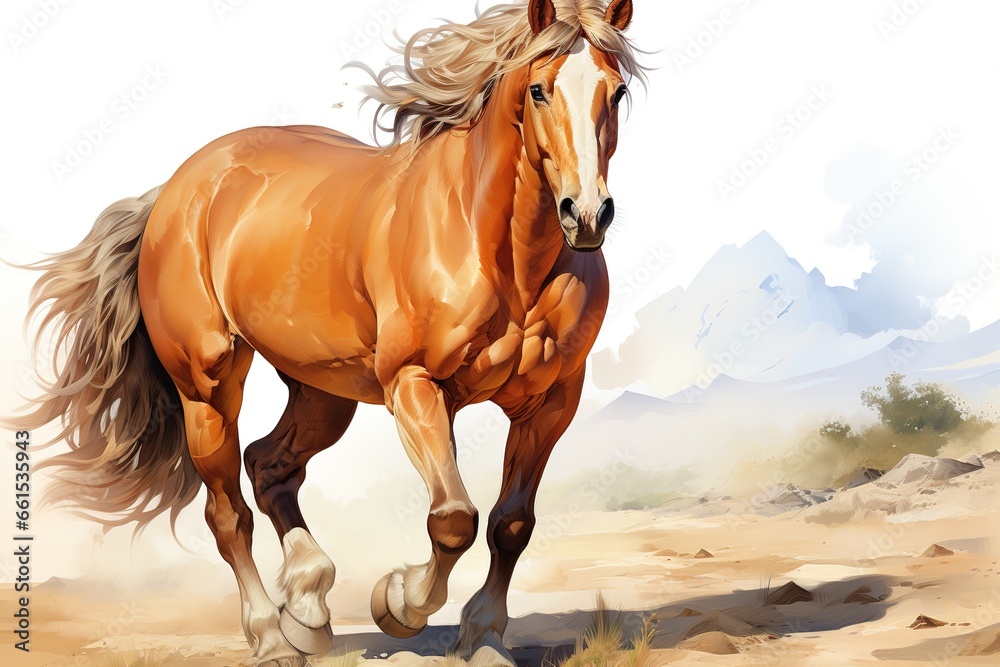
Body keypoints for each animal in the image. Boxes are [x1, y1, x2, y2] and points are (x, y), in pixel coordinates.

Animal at [15, 1, 644, 664]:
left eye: (617, 91)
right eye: (538, 90)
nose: (587, 214)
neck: (496, 251)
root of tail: (176, 189)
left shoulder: (550, 403)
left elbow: (510, 523)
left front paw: (484, 635)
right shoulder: (415, 385)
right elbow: (453, 518)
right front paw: (398, 603)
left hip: (323, 392)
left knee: (270, 466)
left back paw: (309, 608)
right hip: (207, 389)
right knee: (227, 513)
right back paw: (272, 635)